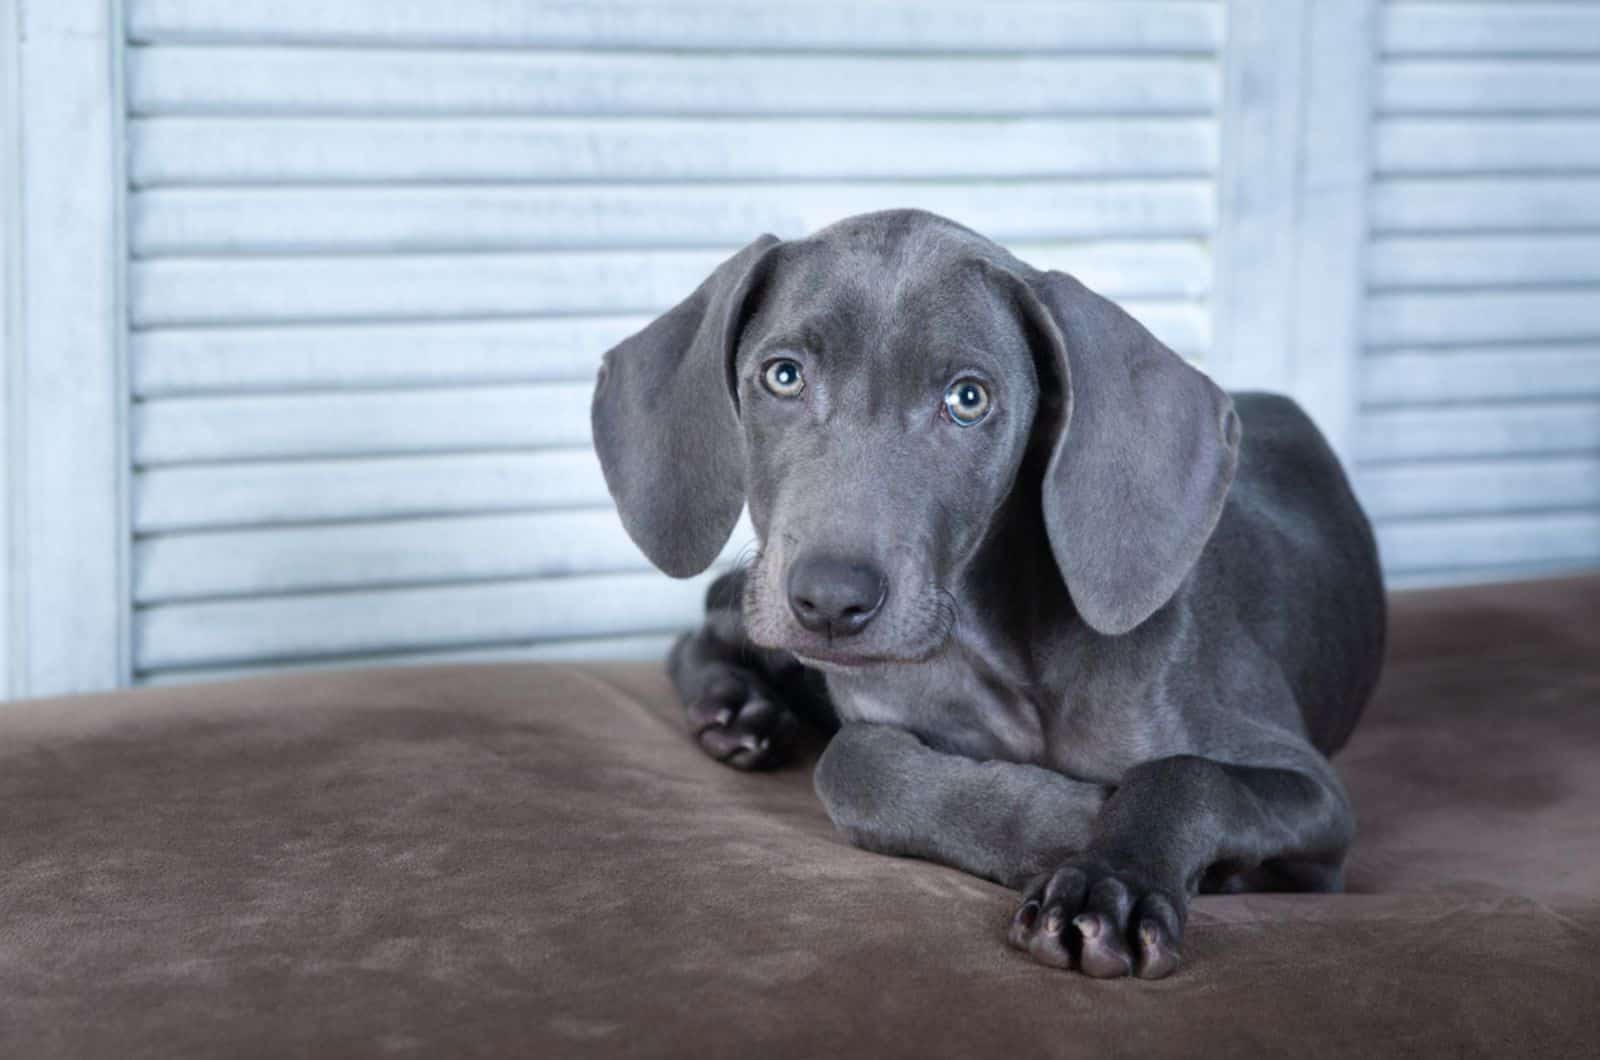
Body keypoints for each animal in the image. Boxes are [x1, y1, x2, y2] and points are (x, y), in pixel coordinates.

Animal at [588, 211, 1388, 986]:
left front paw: (1112, 881)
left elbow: (1190, 774)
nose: (830, 600)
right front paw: (1063, 818)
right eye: (783, 376)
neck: (1002, 651)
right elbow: (850, 764)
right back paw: (731, 705)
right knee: (704, 626)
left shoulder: (1319, 803)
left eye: (967, 399)